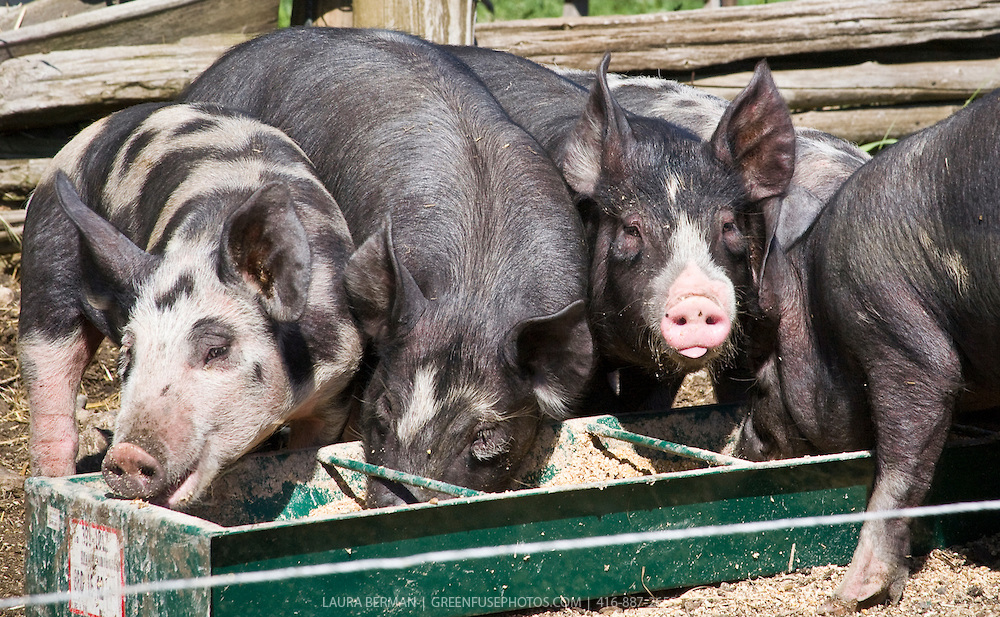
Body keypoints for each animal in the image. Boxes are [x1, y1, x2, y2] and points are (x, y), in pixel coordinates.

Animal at [19, 102, 363, 508]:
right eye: (129, 354)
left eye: (216, 350)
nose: (126, 456)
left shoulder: (337, 384)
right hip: (44, 276)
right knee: (51, 392)